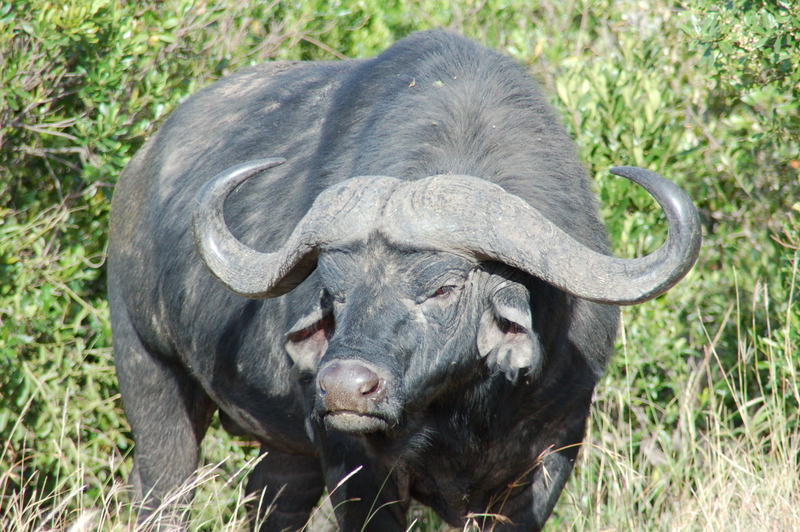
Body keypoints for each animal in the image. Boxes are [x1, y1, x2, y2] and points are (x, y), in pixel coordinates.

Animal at [108, 30, 700, 532]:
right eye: (335, 292)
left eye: (442, 289)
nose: (344, 387)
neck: (462, 408)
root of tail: (139, 171)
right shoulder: (354, 464)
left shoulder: (552, 449)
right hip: (147, 368)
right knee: (163, 487)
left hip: (285, 450)